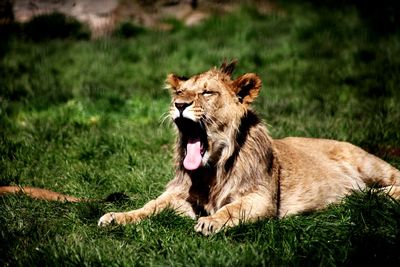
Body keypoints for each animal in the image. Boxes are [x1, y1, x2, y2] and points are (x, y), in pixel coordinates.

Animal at [97, 61, 400, 236]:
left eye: (207, 92)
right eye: (179, 93)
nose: (179, 105)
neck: (212, 170)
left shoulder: (262, 198)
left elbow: (232, 208)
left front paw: (210, 222)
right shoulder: (180, 196)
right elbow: (149, 206)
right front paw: (117, 217)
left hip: (369, 164)